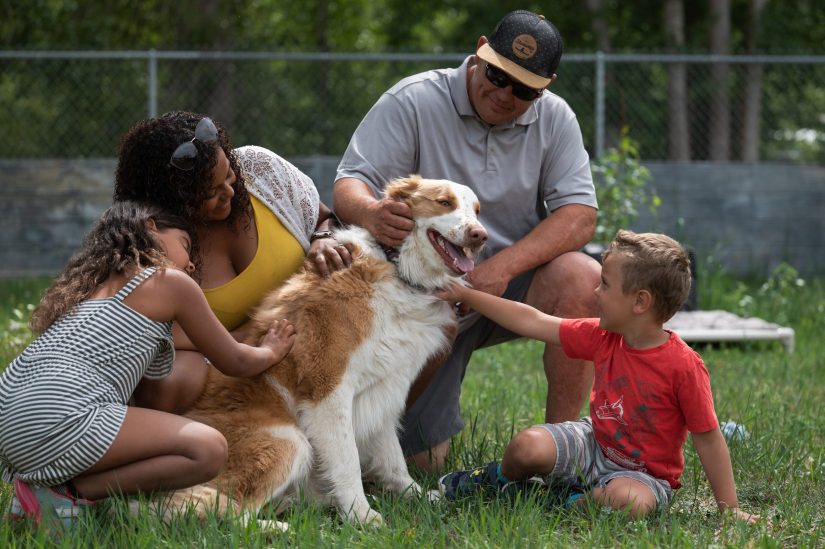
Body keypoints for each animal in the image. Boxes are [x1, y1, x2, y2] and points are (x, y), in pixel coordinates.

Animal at [163, 174, 486, 528]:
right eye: (444, 202)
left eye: (477, 210)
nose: (480, 236)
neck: (397, 268)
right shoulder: (329, 390)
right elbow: (348, 461)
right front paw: (362, 516)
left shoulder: (386, 386)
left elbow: (392, 457)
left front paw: (415, 495)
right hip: (289, 441)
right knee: (222, 514)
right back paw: (281, 528)